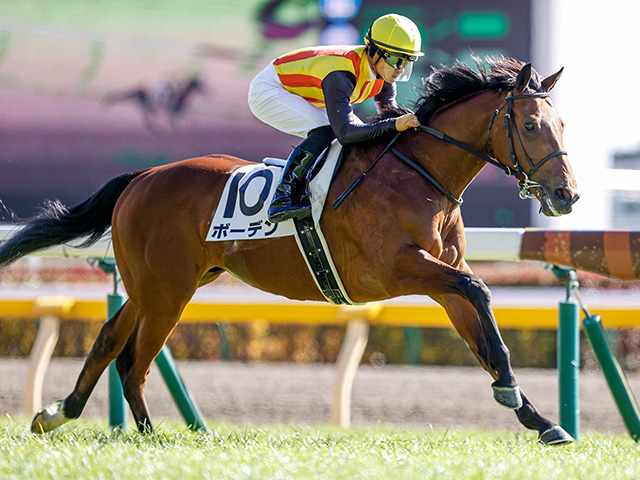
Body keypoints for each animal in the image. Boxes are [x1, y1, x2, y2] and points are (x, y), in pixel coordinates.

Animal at [0, 57, 580, 446]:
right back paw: (144, 435)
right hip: (166, 289)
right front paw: (513, 393)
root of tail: (142, 176)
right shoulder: (400, 269)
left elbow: (484, 336)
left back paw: (60, 415)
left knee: (109, 343)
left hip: (160, 285)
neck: (420, 175)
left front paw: (540, 419)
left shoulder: (442, 276)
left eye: (562, 123)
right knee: (133, 359)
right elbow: (480, 291)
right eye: (531, 125)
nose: (566, 195)